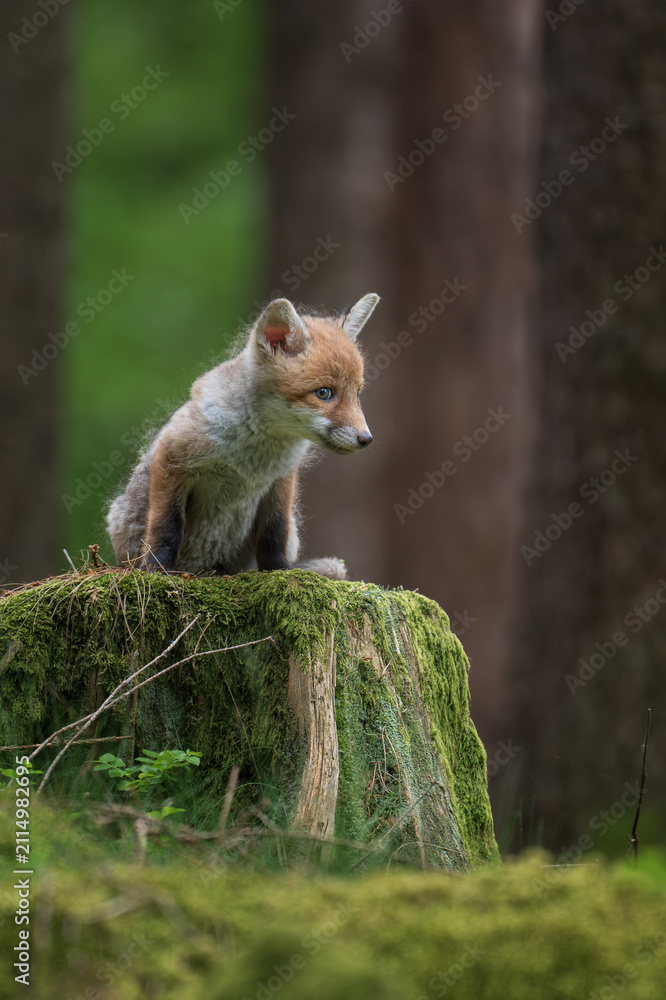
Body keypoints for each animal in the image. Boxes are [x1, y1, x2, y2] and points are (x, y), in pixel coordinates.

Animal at [106, 292, 379, 580]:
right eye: (324, 393)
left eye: (357, 393)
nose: (366, 439)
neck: (254, 457)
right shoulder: (172, 454)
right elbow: (166, 523)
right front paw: (157, 567)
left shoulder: (281, 481)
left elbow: (274, 532)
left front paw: (279, 571)